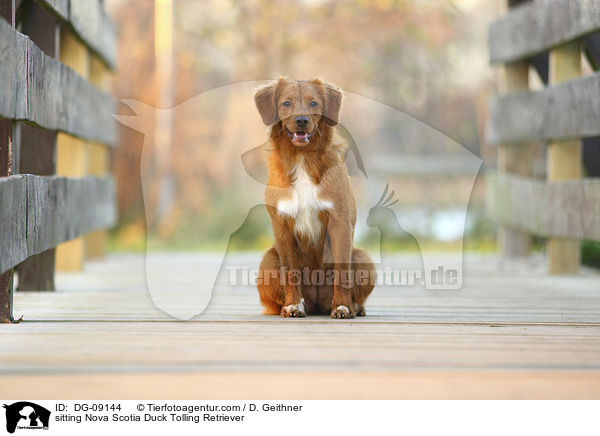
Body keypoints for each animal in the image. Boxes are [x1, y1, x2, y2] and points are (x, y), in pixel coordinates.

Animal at [254, 76, 376, 318]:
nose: (301, 120)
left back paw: (354, 306)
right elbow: (291, 272)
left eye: (314, 103)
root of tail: (318, 304)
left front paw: (343, 306)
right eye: (286, 103)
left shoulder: (339, 222)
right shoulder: (283, 225)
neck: (302, 158)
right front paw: (293, 305)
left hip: (363, 259)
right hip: (267, 262)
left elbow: (342, 270)